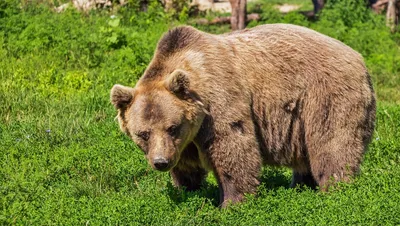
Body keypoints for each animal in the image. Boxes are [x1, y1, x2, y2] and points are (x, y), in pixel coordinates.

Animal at [109, 23, 376, 207]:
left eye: (172, 127)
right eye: (143, 133)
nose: (160, 162)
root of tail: (359, 58)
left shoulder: (219, 102)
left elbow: (233, 147)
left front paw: (231, 202)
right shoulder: (185, 140)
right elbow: (186, 165)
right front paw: (188, 190)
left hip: (325, 96)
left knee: (332, 144)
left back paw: (335, 189)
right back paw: (300, 186)